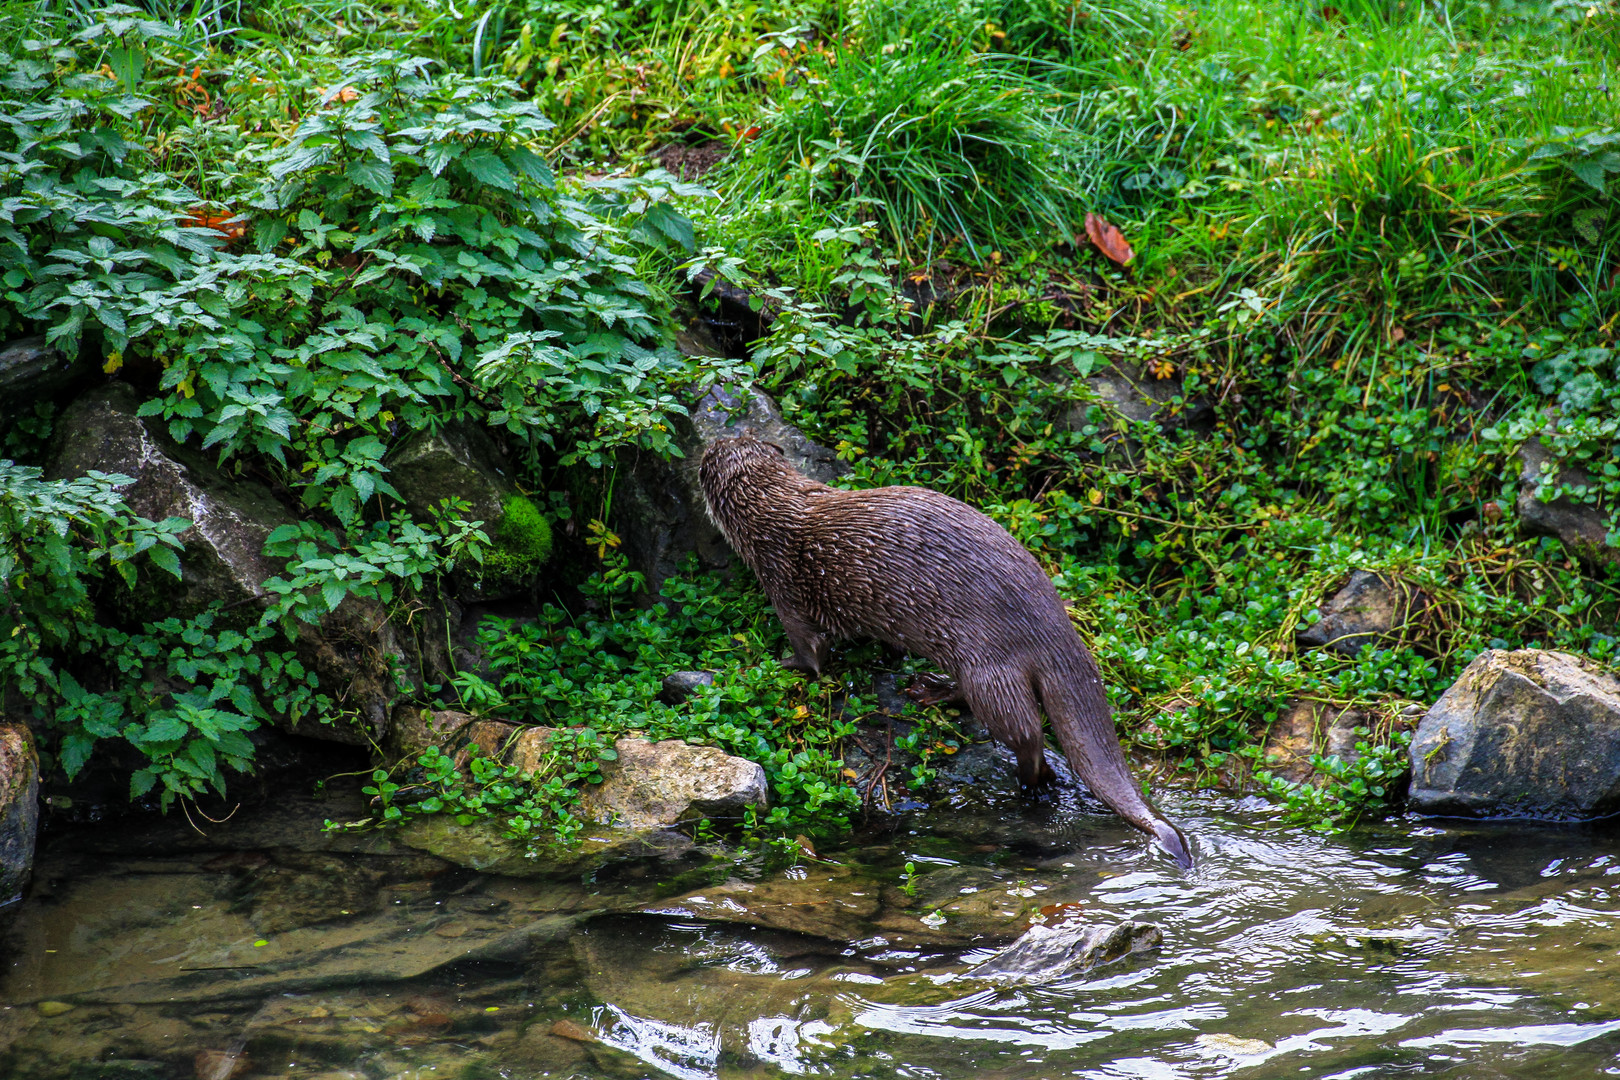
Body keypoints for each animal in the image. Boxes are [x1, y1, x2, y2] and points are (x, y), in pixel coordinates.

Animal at [696, 433, 1192, 867]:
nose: (711, 440)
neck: (776, 516)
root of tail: (1054, 627)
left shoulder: (783, 586)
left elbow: (813, 652)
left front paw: (782, 663)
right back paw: (931, 691)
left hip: (987, 666)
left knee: (1025, 731)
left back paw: (1028, 781)